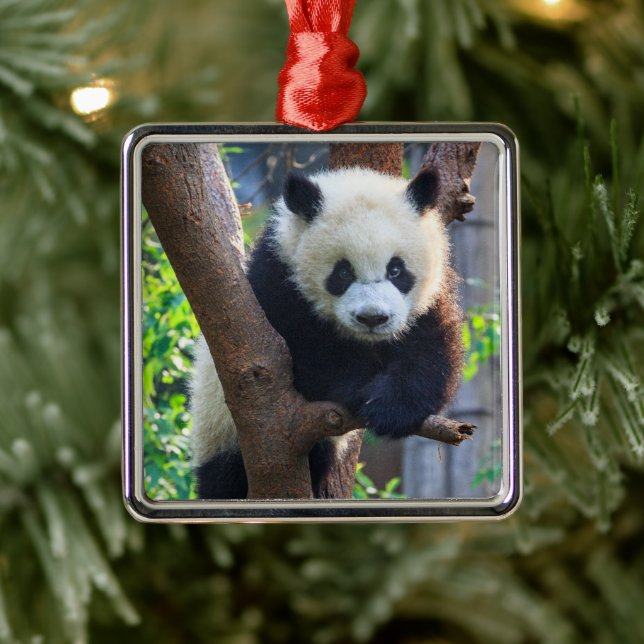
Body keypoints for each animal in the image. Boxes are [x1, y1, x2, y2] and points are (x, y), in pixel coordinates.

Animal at [190, 165, 464, 499]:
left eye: (396, 270)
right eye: (342, 272)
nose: (372, 318)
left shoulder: (429, 298)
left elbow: (430, 349)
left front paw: (392, 408)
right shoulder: (276, 281)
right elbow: (306, 351)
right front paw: (361, 391)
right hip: (220, 428)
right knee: (226, 477)